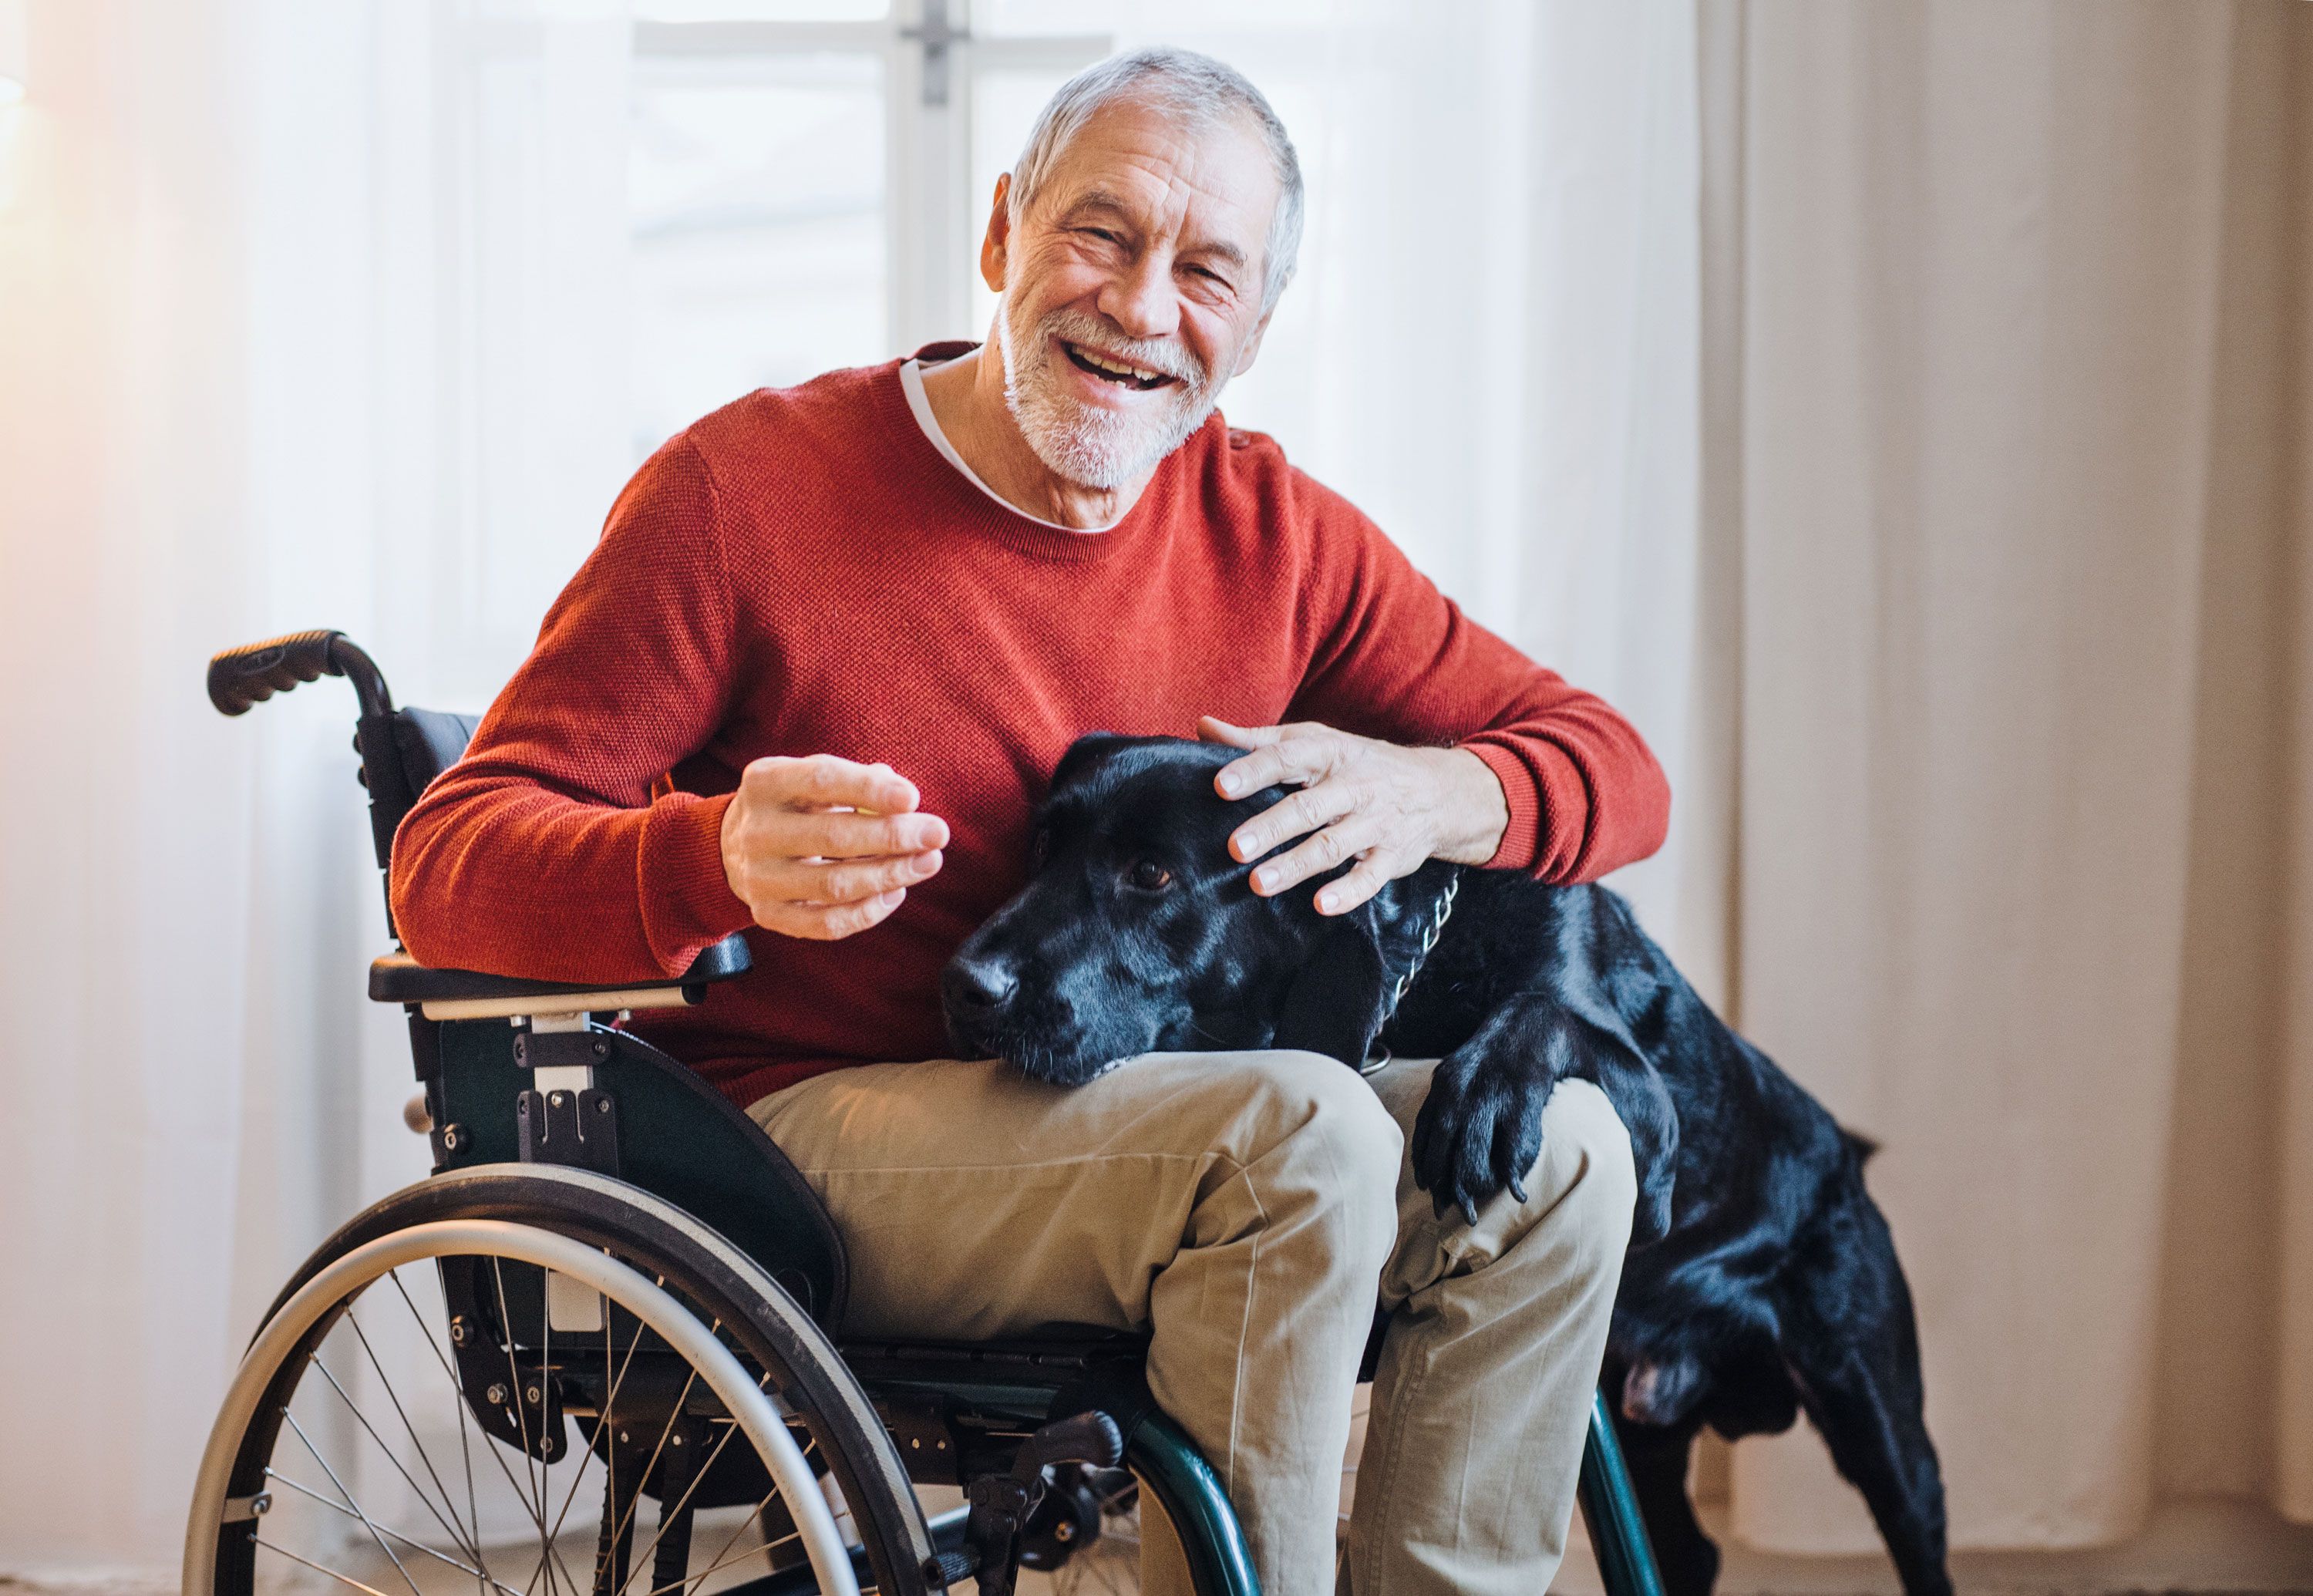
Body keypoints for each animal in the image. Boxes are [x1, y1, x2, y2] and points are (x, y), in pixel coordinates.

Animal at [939, 736, 1952, 1591]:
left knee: (1916, 1527)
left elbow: (1543, 1013)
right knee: (1691, 1551)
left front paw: (1481, 1101)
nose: (964, 985)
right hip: (1641, 1427)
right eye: (1041, 851)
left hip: (1878, 1422)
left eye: (1150, 875)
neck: (1425, 973)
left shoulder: (1651, 1110)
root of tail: (1852, 1161)